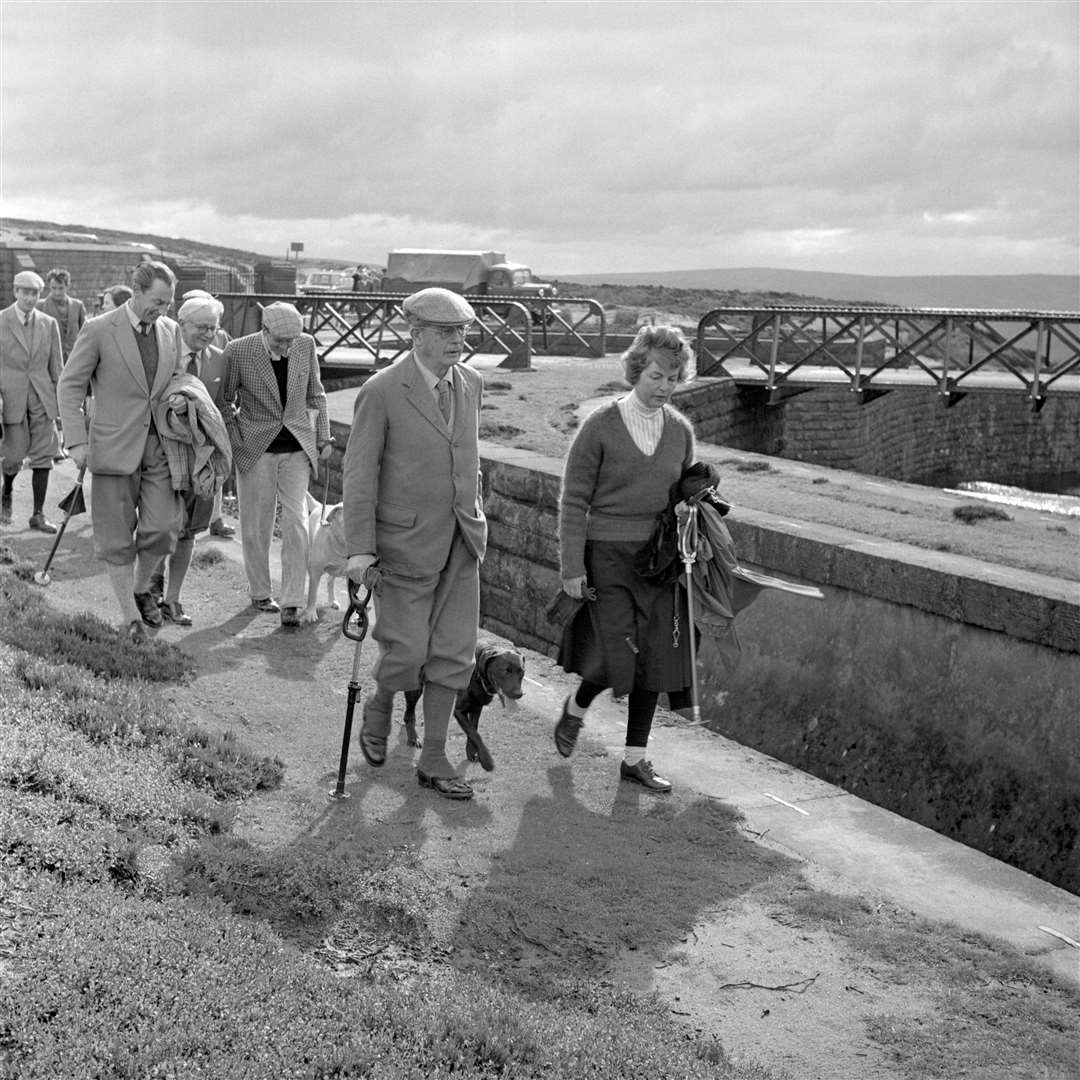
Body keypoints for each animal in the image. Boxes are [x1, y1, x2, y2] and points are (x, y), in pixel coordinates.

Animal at [300, 492, 345, 626]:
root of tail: (319, 506)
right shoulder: (316, 570)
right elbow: (312, 593)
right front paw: (310, 613)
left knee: (330, 580)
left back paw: (332, 601)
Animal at [403, 639, 524, 768]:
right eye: (506, 671)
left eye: (522, 672)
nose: (519, 694)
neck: (477, 674)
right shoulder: (459, 711)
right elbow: (474, 733)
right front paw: (486, 759)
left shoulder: (477, 707)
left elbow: (473, 730)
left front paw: (471, 752)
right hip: (415, 688)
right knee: (409, 712)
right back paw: (413, 737)